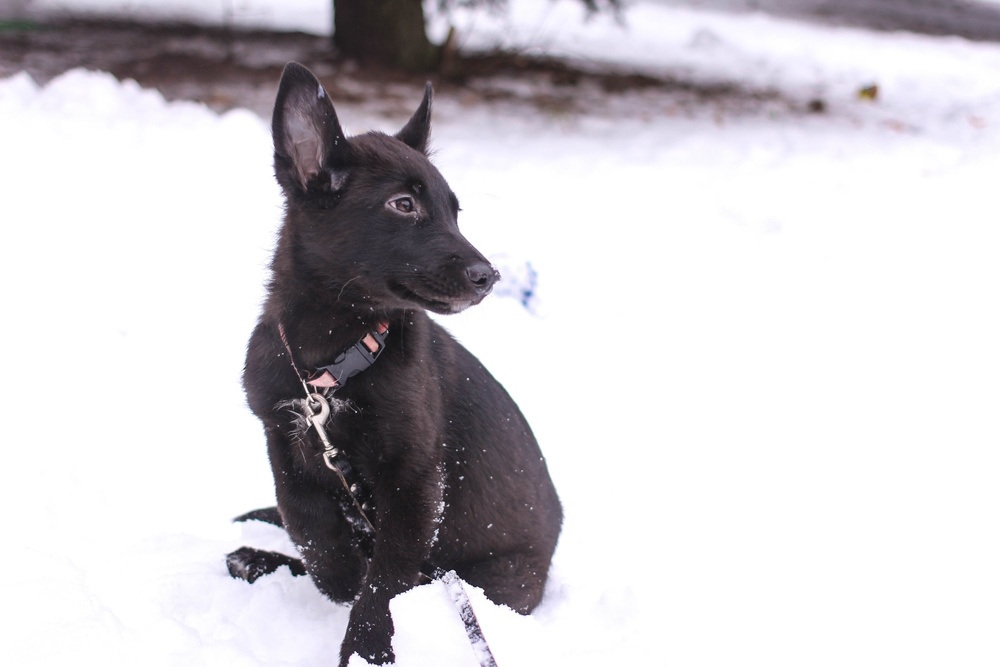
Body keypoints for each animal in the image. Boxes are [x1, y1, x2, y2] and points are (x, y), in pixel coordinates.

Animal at [229, 60, 568, 664]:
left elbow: (385, 577)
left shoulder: (413, 479)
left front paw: (365, 643)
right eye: (403, 205)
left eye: (454, 211)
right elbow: (312, 531)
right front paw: (338, 579)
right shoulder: (284, 444)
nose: (488, 276)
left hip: (495, 576)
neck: (333, 354)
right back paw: (257, 558)